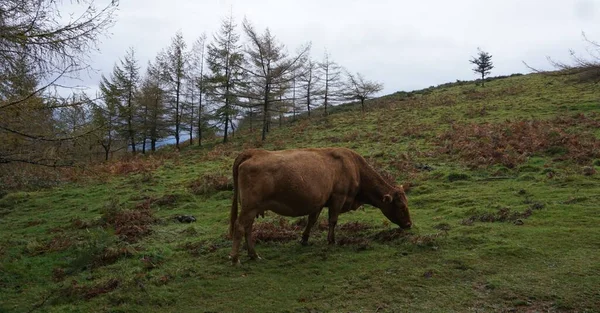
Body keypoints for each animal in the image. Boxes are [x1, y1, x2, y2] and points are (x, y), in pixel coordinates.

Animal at [227, 146, 410, 264]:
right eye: (401, 207)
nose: (409, 224)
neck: (354, 167)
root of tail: (252, 152)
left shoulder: (319, 202)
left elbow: (311, 220)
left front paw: (304, 239)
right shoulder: (338, 197)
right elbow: (332, 220)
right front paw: (331, 240)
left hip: (252, 208)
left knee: (248, 228)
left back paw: (253, 255)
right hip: (249, 207)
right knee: (240, 227)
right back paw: (235, 258)